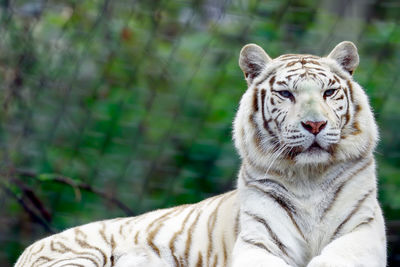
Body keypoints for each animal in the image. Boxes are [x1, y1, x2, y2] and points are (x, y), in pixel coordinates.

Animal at [14, 40, 386, 266]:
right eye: (285, 94)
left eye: (329, 92)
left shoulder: (362, 230)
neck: (309, 176)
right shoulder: (259, 242)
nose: (314, 124)